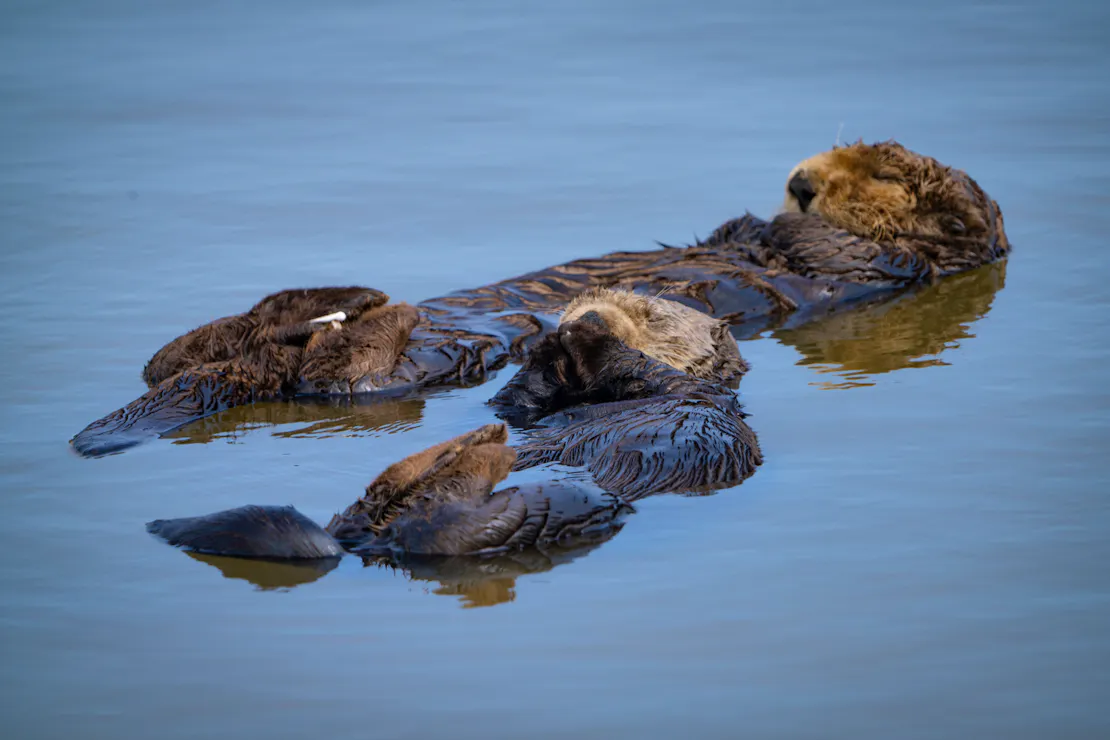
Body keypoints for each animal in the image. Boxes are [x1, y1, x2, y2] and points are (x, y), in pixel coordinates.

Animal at [72, 140, 1010, 457]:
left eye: (876, 174)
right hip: (237, 356)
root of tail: (257, 369)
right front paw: (757, 211)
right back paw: (329, 296)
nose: (802, 178)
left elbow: (827, 246)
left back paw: (366, 309)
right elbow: (740, 229)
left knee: (332, 371)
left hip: (377, 372)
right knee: (176, 355)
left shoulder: (877, 267)